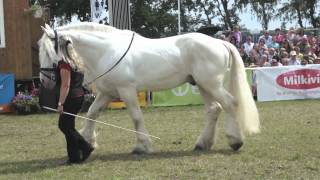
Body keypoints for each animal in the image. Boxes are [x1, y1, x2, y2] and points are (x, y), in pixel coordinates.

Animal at [38, 21, 260, 153]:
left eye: (48, 51)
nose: (45, 81)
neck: (106, 50)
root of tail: (220, 43)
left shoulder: (126, 91)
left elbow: (136, 117)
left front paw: (142, 145)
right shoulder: (107, 93)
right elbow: (92, 113)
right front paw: (87, 142)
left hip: (211, 84)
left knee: (230, 104)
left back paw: (235, 141)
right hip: (203, 85)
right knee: (215, 109)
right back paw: (202, 144)